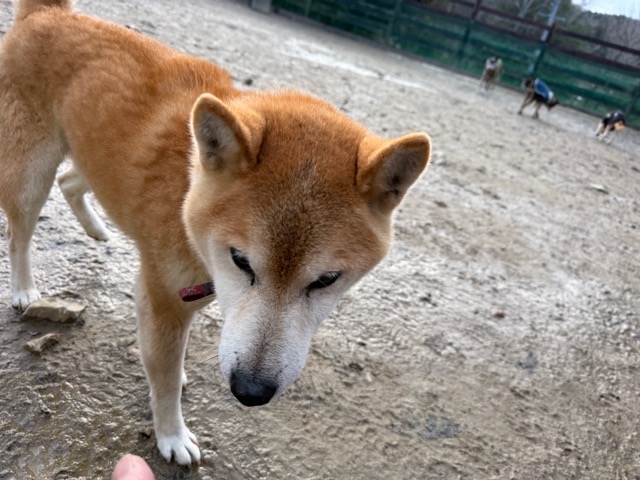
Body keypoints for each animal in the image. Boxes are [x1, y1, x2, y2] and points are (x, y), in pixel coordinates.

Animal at [0, 0, 431, 465]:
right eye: (241, 260)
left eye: (326, 280)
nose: (250, 391)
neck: (188, 191)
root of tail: (48, 13)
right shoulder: (163, 300)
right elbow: (166, 378)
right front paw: (172, 436)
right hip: (31, 173)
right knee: (20, 233)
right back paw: (24, 289)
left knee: (71, 182)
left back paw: (98, 229)